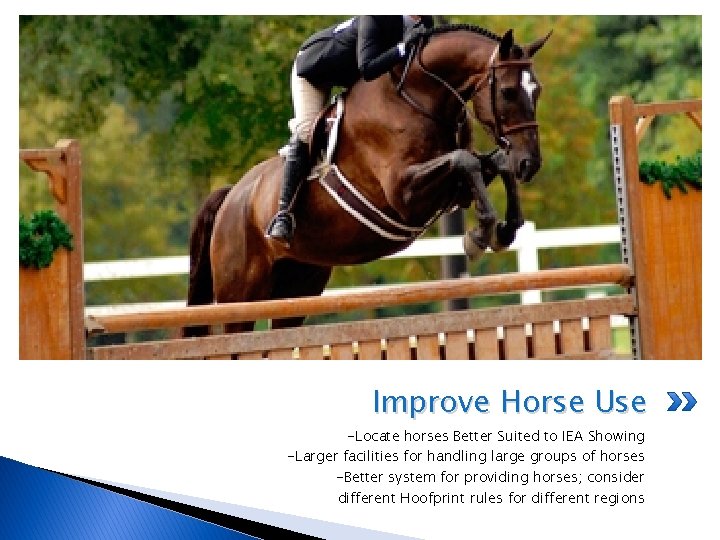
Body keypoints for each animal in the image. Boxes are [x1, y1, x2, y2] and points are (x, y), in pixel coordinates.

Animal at [185, 24, 551, 335]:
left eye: (537, 92)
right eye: (508, 92)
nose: (530, 163)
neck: (418, 98)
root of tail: (232, 196)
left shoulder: (451, 191)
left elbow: (493, 163)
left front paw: (505, 229)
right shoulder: (404, 195)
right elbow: (465, 161)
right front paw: (480, 234)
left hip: (298, 284)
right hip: (240, 294)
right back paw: (280, 224)